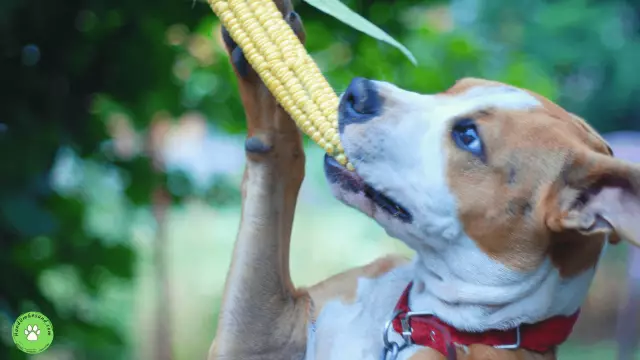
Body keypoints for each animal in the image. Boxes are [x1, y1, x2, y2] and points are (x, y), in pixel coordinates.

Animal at [208, 1, 636, 358]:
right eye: (452, 89)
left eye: (468, 137)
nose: (358, 92)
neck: (417, 322)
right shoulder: (265, 330)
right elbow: (277, 159)